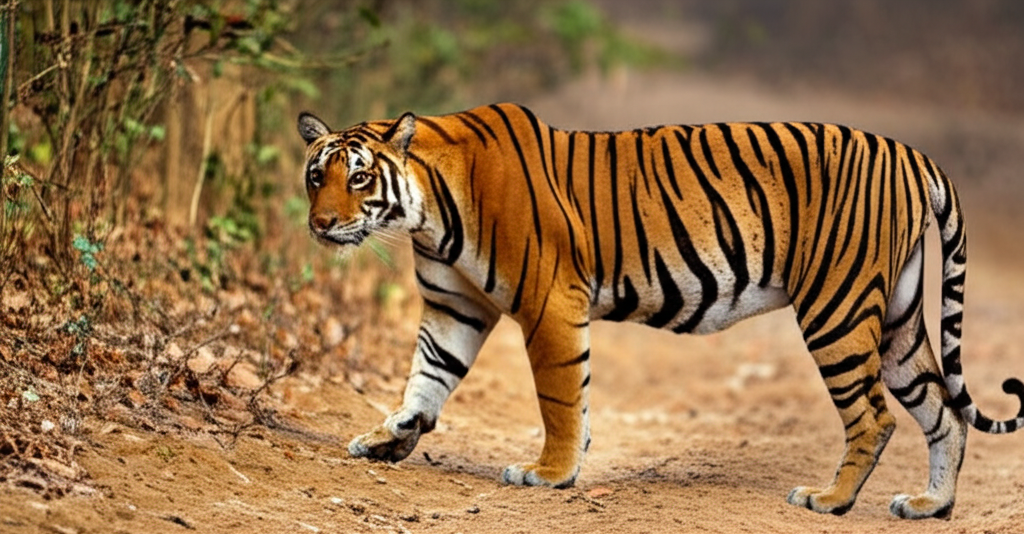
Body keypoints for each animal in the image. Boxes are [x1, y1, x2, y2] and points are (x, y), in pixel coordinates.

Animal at [296, 102, 1024, 519]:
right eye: (316, 175)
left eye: (359, 176)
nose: (322, 224)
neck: (424, 210)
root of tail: (913, 153)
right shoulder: (454, 308)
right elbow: (427, 378)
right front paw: (388, 438)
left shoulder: (548, 302)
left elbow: (559, 396)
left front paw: (549, 474)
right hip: (897, 321)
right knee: (942, 411)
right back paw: (931, 504)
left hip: (837, 309)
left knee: (875, 416)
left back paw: (830, 500)